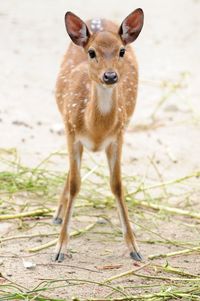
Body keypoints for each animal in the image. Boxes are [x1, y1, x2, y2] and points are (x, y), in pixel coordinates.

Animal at [52, 8, 144, 260]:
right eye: (92, 52)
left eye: (121, 51)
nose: (110, 76)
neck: (96, 130)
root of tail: (99, 17)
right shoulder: (71, 132)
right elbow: (76, 184)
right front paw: (60, 248)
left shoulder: (118, 135)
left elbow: (117, 185)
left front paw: (134, 248)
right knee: (72, 174)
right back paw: (57, 215)